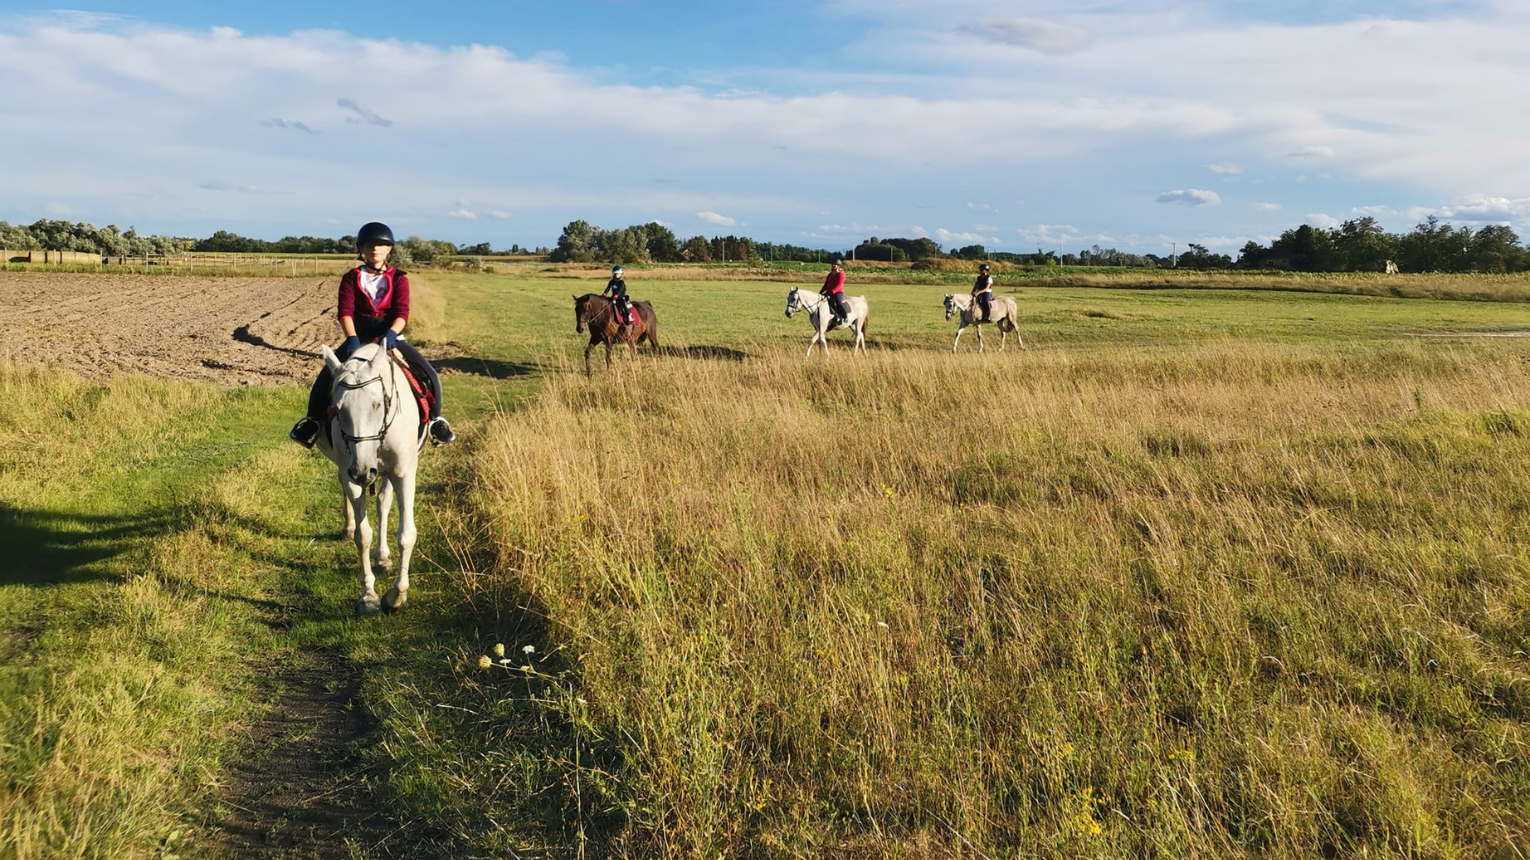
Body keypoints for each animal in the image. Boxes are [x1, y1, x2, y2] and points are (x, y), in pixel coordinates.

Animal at [313, 338, 425, 612]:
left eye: (377, 404)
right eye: (337, 409)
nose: (363, 470)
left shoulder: (403, 473)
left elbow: (406, 534)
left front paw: (396, 596)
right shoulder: (351, 475)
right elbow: (363, 535)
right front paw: (368, 595)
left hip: (386, 472)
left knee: (383, 503)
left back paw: (383, 556)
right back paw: (349, 526)